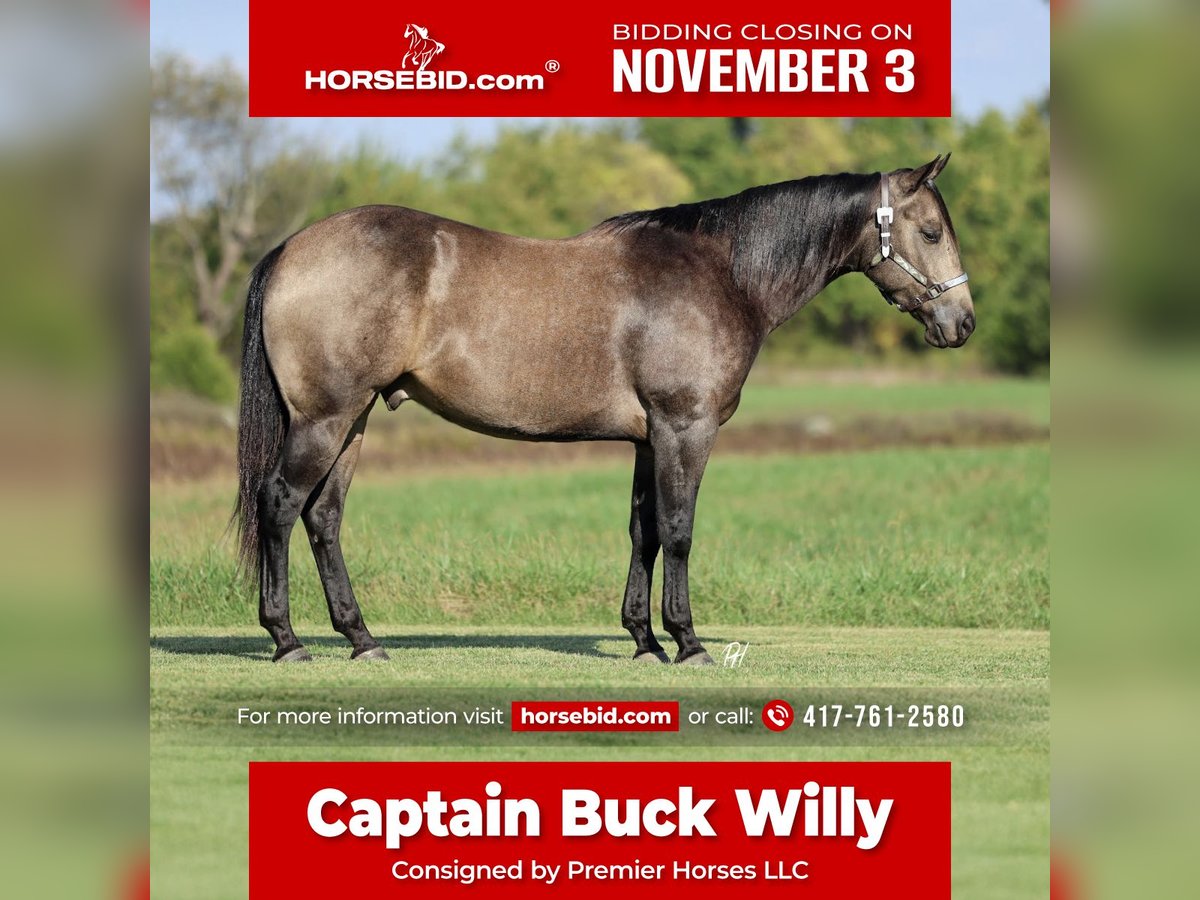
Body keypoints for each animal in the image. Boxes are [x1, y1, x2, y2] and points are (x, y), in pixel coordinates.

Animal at [234, 155, 973, 665]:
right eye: (932, 230)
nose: (962, 322)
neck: (720, 273)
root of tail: (290, 249)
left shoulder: (649, 439)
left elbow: (642, 532)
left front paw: (644, 640)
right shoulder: (685, 428)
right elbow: (678, 530)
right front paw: (688, 642)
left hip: (352, 421)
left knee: (324, 519)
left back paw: (362, 638)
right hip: (325, 420)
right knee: (280, 504)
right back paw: (287, 640)